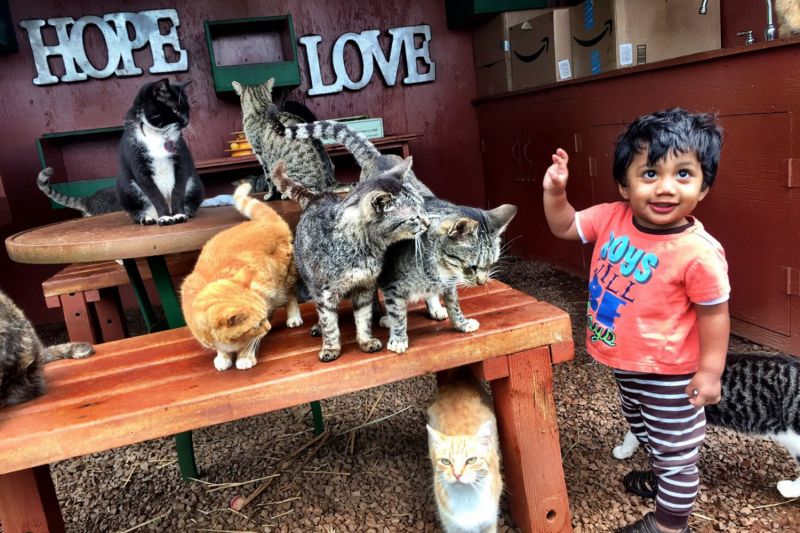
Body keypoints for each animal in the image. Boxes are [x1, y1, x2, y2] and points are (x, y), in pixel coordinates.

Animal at [116, 77, 205, 224]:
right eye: (175, 110)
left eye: (187, 110)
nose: (186, 122)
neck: (158, 134)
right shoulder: (139, 164)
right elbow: (154, 194)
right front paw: (164, 216)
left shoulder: (181, 159)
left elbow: (178, 190)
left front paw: (179, 214)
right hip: (126, 191)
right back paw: (148, 218)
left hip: (196, 185)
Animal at [181, 162, 304, 370]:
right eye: (256, 325)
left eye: (262, 320)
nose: (268, 328)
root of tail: (265, 222)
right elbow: (221, 349)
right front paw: (223, 357)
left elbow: (248, 345)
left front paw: (245, 357)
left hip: (283, 282)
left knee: (291, 297)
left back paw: (293, 318)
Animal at [270, 154, 432, 362]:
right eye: (413, 218)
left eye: (423, 207)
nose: (428, 223)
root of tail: (317, 196)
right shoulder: (324, 294)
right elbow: (329, 324)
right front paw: (330, 348)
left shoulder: (364, 287)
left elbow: (363, 319)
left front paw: (366, 341)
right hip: (310, 281)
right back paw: (318, 327)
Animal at [428, 368, 504, 532]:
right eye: (446, 461)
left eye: (471, 460)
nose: (457, 474)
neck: (467, 498)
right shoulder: (452, 526)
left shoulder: (489, 523)